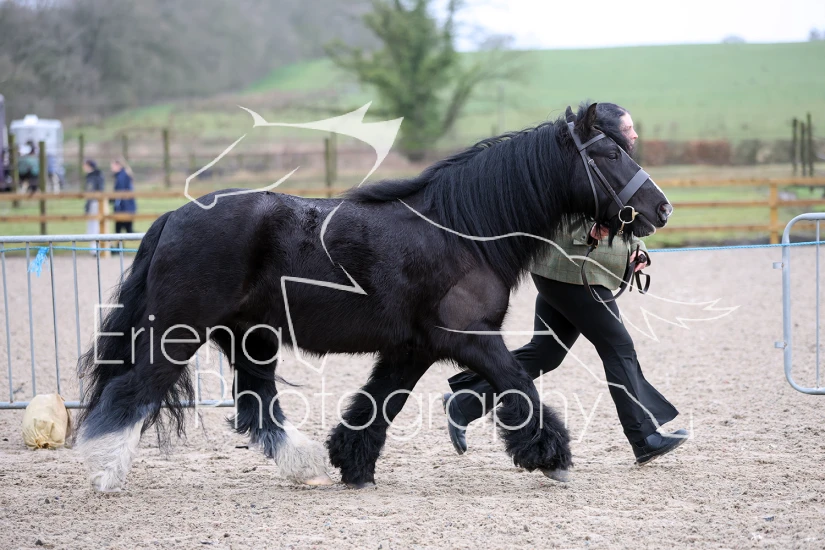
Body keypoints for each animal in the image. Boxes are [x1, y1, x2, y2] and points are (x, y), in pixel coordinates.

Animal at [75, 103, 672, 492]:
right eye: (609, 153)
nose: (661, 208)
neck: (461, 230)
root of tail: (174, 217)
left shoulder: (412, 349)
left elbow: (378, 405)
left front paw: (353, 465)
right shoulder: (473, 340)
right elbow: (520, 385)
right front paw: (552, 456)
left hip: (251, 339)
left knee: (257, 407)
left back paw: (306, 466)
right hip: (178, 333)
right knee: (134, 392)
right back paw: (103, 471)